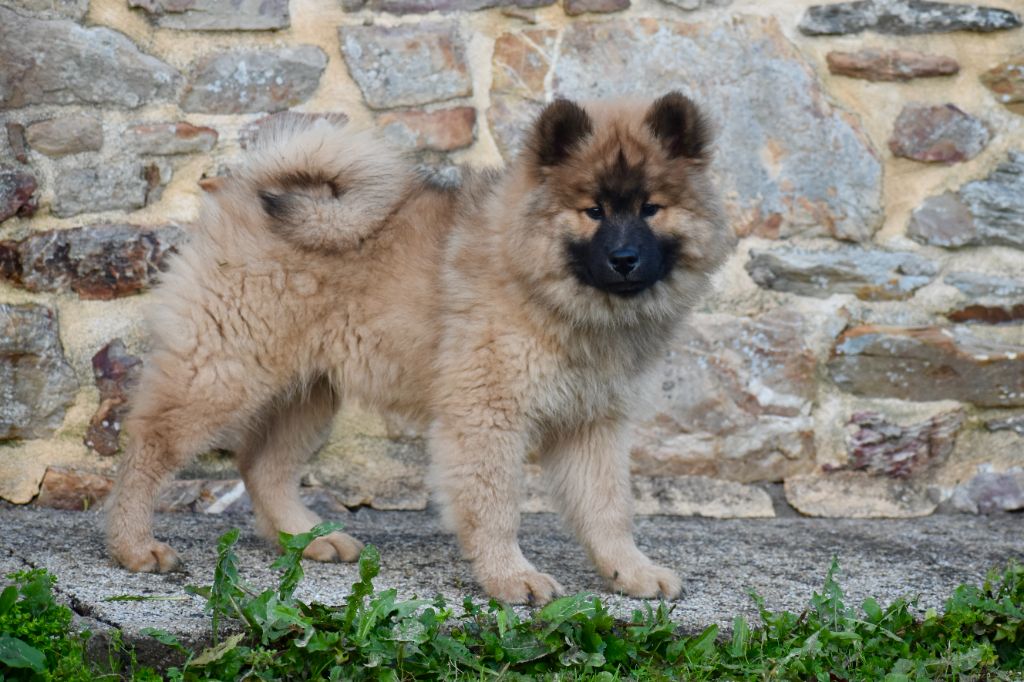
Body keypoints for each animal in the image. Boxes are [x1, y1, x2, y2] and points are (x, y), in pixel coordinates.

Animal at [103, 91, 733, 602]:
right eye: (593, 211)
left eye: (651, 208)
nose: (624, 259)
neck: (555, 292)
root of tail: (246, 188)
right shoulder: (487, 413)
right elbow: (496, 506)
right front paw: (511, 578)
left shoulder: (593, 422)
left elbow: (609, 509)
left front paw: (631, 572)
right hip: (223, 371)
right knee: (148, 446)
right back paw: (134, 546)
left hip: (310, 391)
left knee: (262, 465)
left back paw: (307, 540)